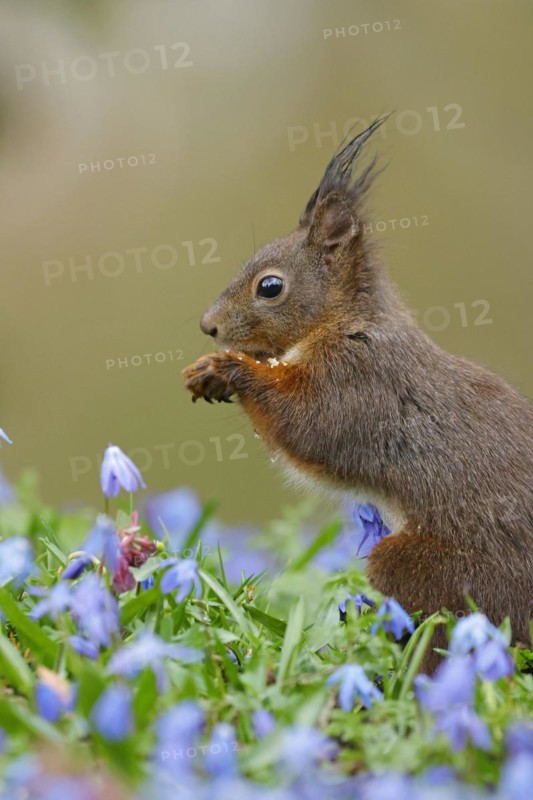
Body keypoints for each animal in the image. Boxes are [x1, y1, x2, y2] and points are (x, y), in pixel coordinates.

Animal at [183, 117, 533, 669]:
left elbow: (307, 427)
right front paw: (210, 372)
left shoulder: (360, 380)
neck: (347, 322)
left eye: (270, 286)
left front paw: (229, 368)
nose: (208, 326)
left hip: (442, 573)